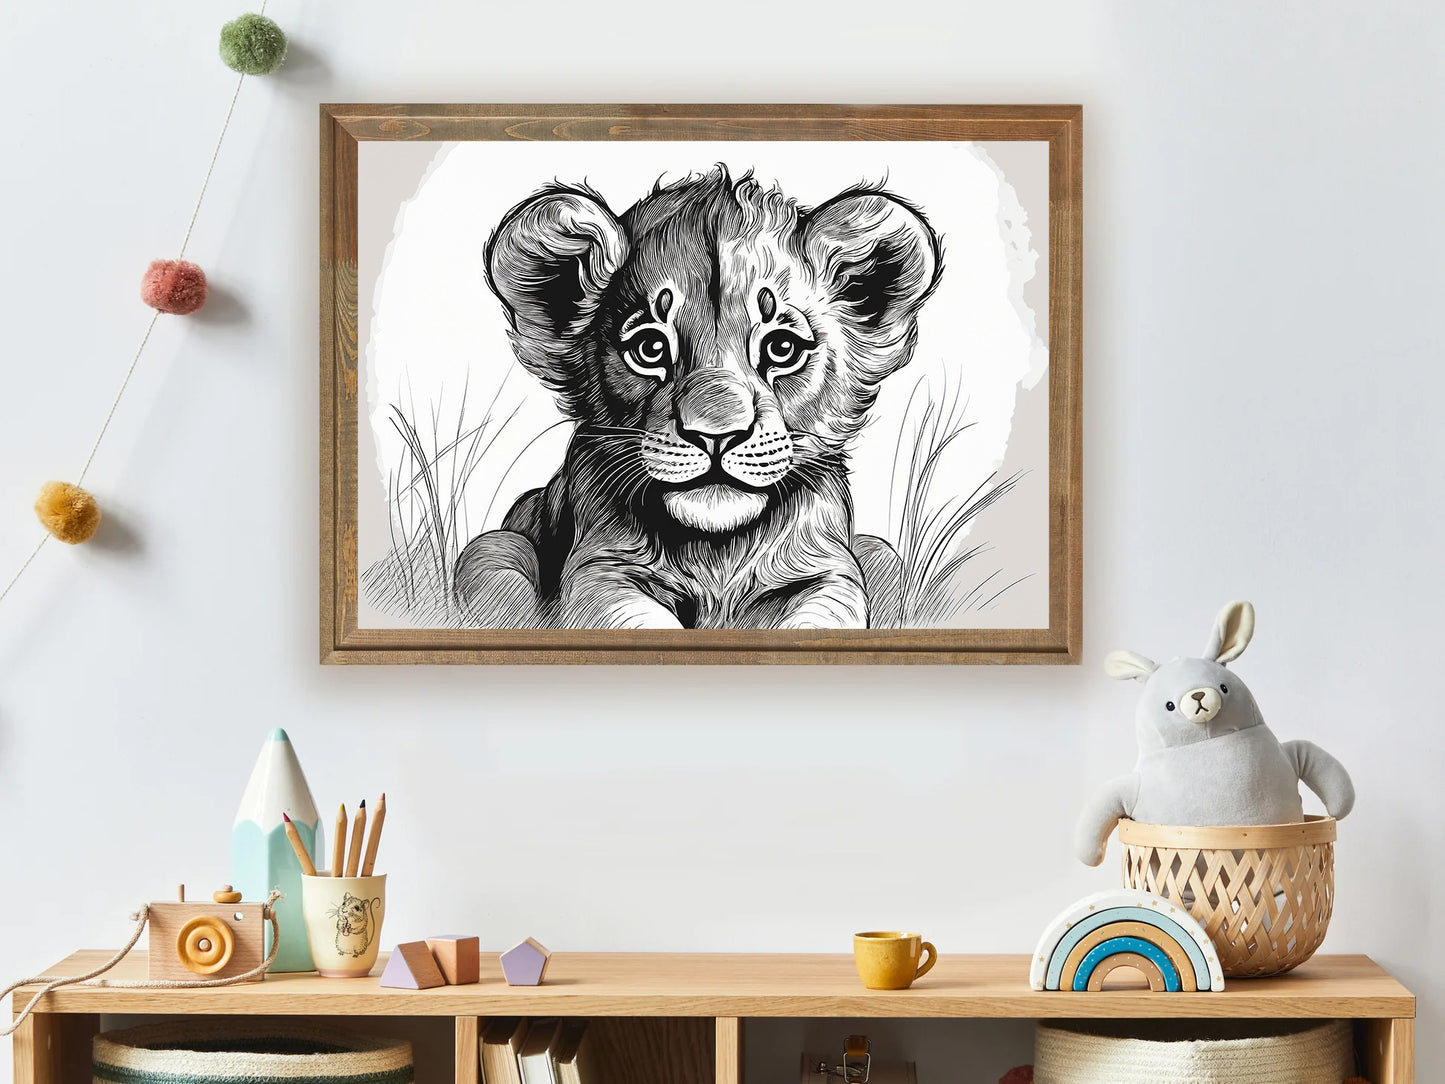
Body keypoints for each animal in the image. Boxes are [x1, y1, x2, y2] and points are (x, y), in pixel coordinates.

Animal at [454, 166, 943, 630]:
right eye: (650, 348)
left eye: (782, 348)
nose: (716, 435)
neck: (717, 548)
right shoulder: (602, 571)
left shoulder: (828, 573)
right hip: (493, 548)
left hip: (882, 555)